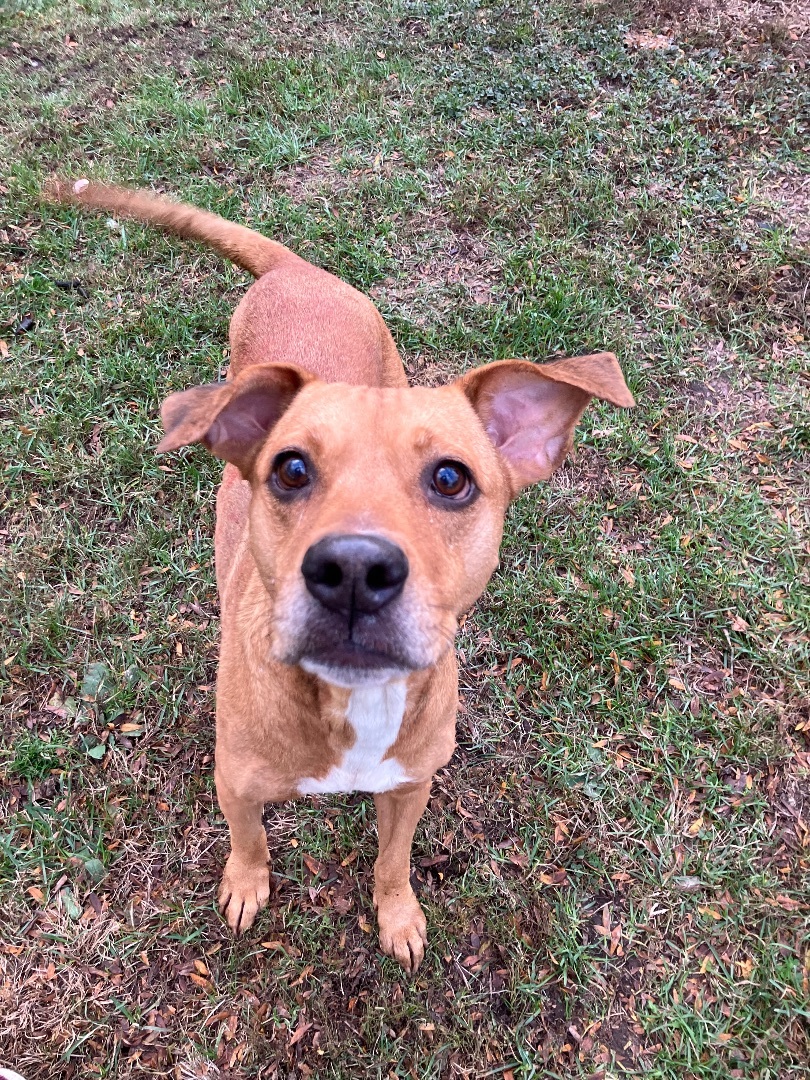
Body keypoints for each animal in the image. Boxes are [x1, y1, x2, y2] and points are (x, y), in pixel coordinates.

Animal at [47, 181, 639, 976]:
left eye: (451, 478)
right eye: (291, 469)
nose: (354, 570)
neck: (353, 702)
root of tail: (295, 269)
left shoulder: (412, 785)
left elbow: (394, 861)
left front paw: (398, 916)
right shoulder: (235, 782)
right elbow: (248, 839)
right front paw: (247, 886)